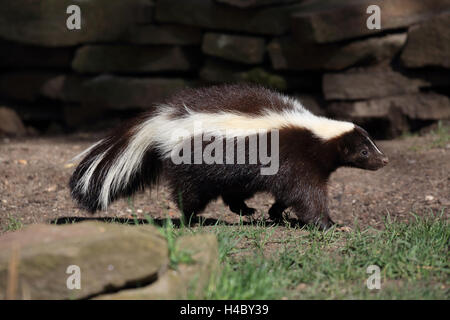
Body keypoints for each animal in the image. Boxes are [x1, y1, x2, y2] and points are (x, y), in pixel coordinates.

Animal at [68, 85, 388, 230]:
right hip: (196, 164)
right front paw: (330, 224)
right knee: (189, 194)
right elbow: (305, 194)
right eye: (363, 151)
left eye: (372, 145)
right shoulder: (294, 158)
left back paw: (246, 211)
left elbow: (289, 193)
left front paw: (275, 213)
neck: (315, 132)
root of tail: (166, 119)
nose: (384, 161)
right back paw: (190, 220)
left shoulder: (292, 164)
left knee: (232, 193)